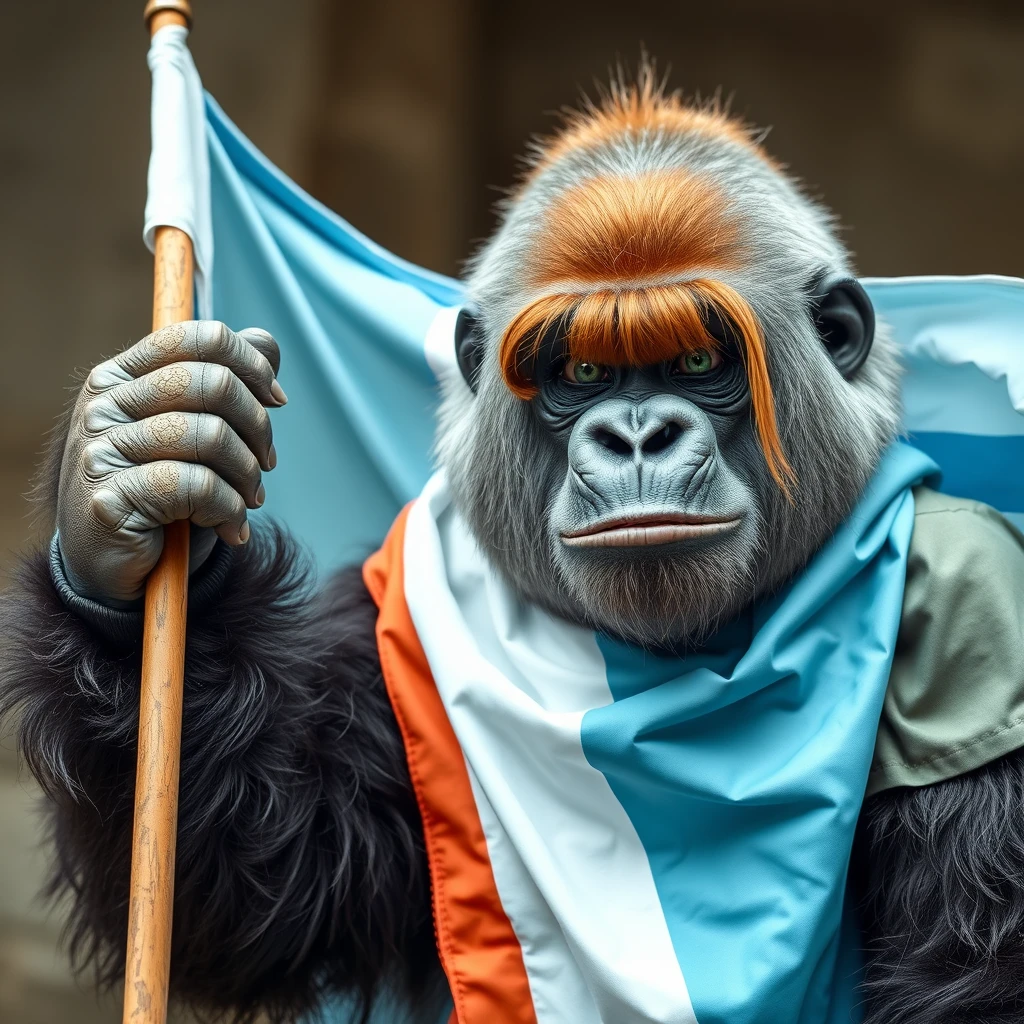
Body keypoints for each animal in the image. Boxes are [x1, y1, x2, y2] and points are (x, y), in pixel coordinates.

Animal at [2, 74, 1024, 1024]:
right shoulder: (393, 614)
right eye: (583, 370)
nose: (638, 436)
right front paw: (128, 483)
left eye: (700, 361)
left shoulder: (984, 613)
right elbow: (269, 885)